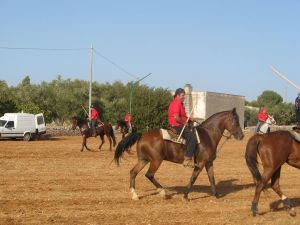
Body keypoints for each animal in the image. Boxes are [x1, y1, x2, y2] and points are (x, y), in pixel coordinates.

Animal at [113, 108, 243, 200]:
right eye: (236, 121)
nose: (241, 136)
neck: (208, 135)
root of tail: (142, 135)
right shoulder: (200, 163)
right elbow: (193, 178)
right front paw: (185, 196)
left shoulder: (208, 162)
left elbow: (212, 178)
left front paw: (216, 195)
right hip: (156, 161)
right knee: (149, 174)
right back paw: (163, 192)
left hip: (144, 160)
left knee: (133, 172)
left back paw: (134, 194)